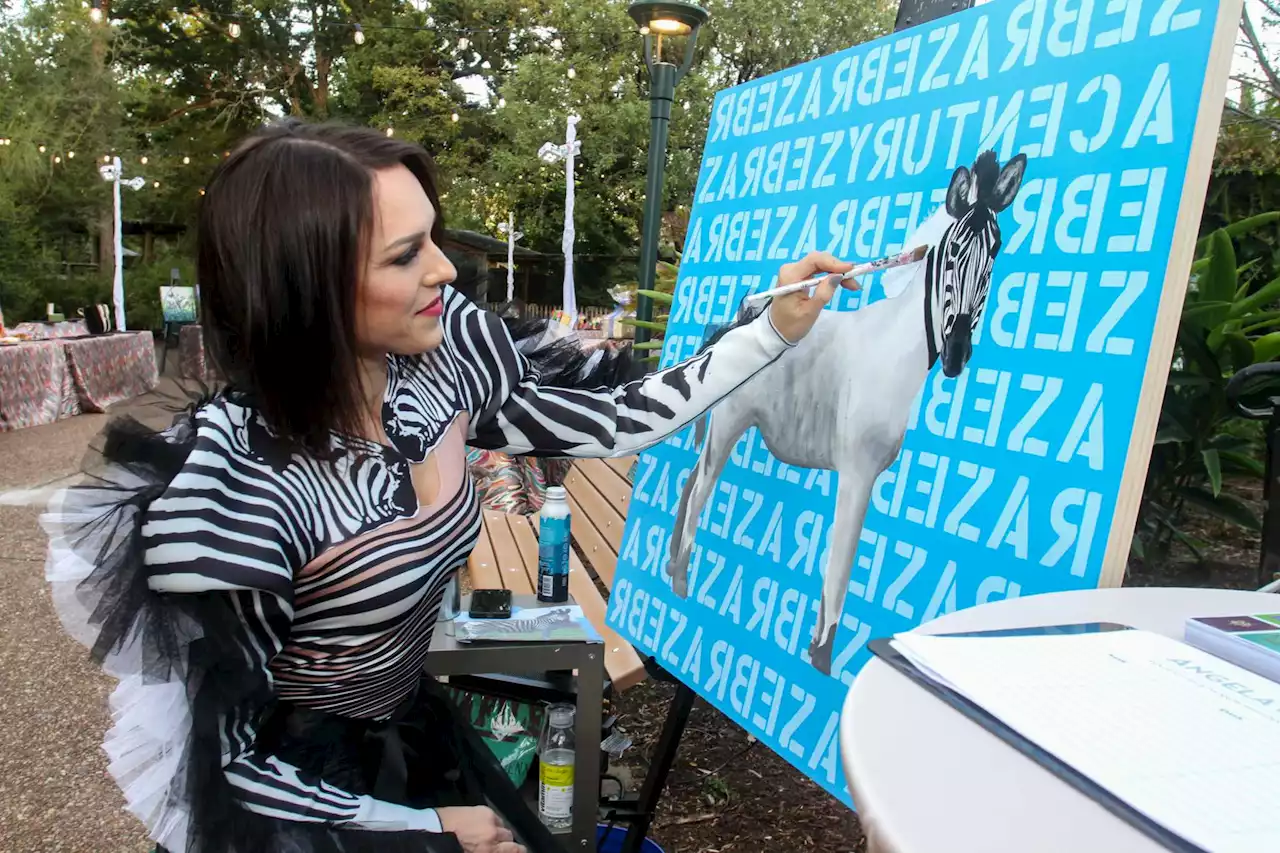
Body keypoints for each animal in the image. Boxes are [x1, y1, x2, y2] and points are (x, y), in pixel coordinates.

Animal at [665, 149, 1024, 676]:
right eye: (953, 252)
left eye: (995, 250)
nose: (958, 355)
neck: (898, 351)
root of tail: (740, 317)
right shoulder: (858, 471)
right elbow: (837, 570)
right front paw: (820, 660)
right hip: (728, 425)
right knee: (697, 495)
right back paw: (681, 584)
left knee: (689, 483)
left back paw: (674, 569)